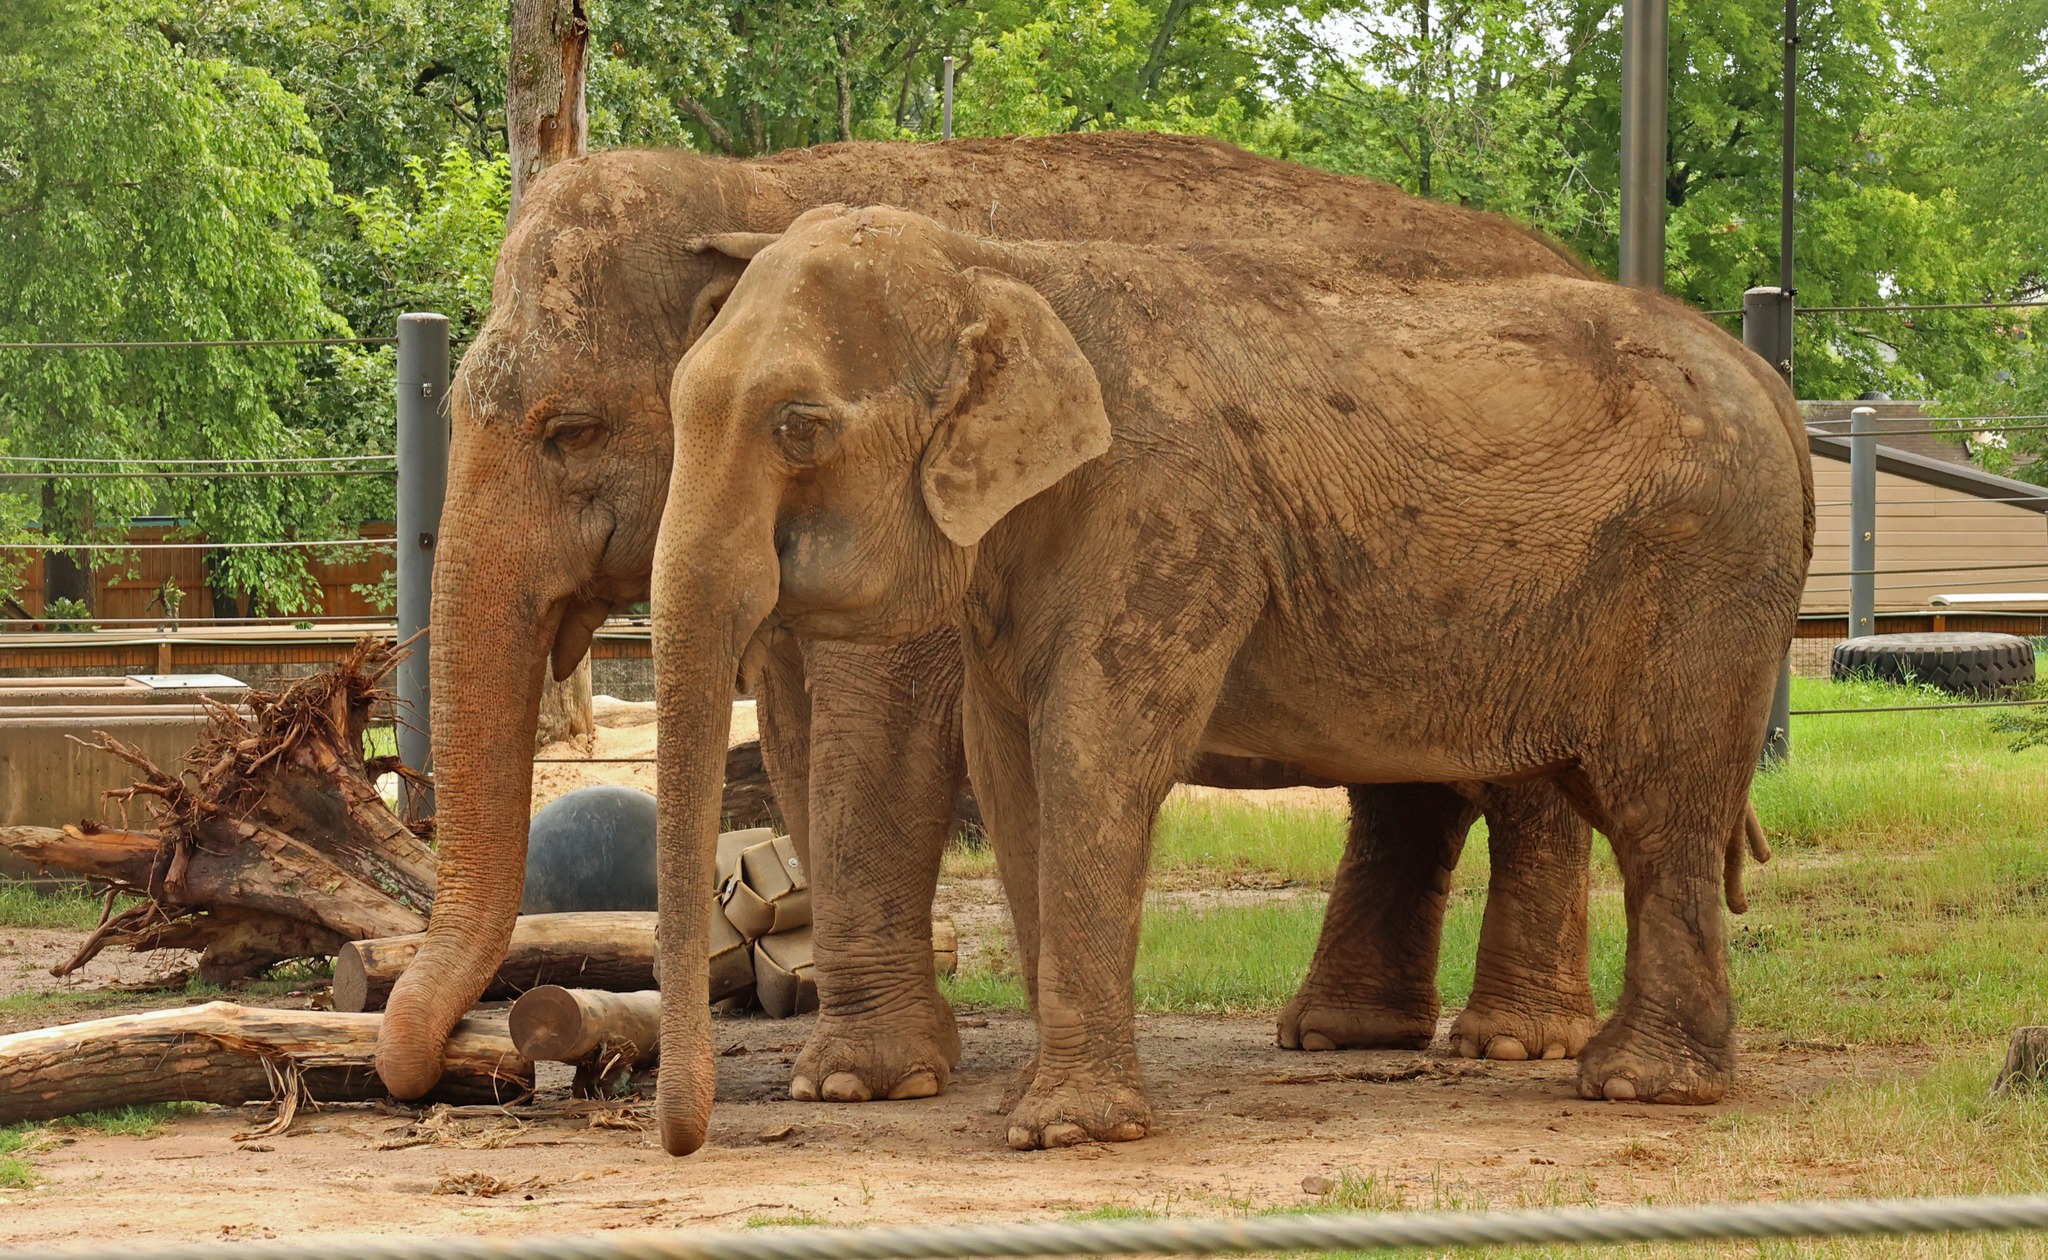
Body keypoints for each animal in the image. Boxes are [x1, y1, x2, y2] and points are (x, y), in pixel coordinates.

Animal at [374, 132, 1607, 1106]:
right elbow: (799, 737)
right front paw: (913, 1059)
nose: (447, 1069)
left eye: (569, 430)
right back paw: (1340, 1035)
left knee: (1530, 777)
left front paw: (859, 1082)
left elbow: (879, 732)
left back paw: (1514, 1044)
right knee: (1409, 782)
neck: (759, 180)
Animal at [649, 204, 1812, 1155]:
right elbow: (1013, 771)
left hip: (1701, 578)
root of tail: (1768, 381)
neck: (1007, 267)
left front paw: (1066, 1133)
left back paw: (1633, 1088)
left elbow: (1093, 757)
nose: (688, 1143)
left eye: (799, 427)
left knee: (1658, 806)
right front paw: (1025, 1109)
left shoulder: (1166, 518)